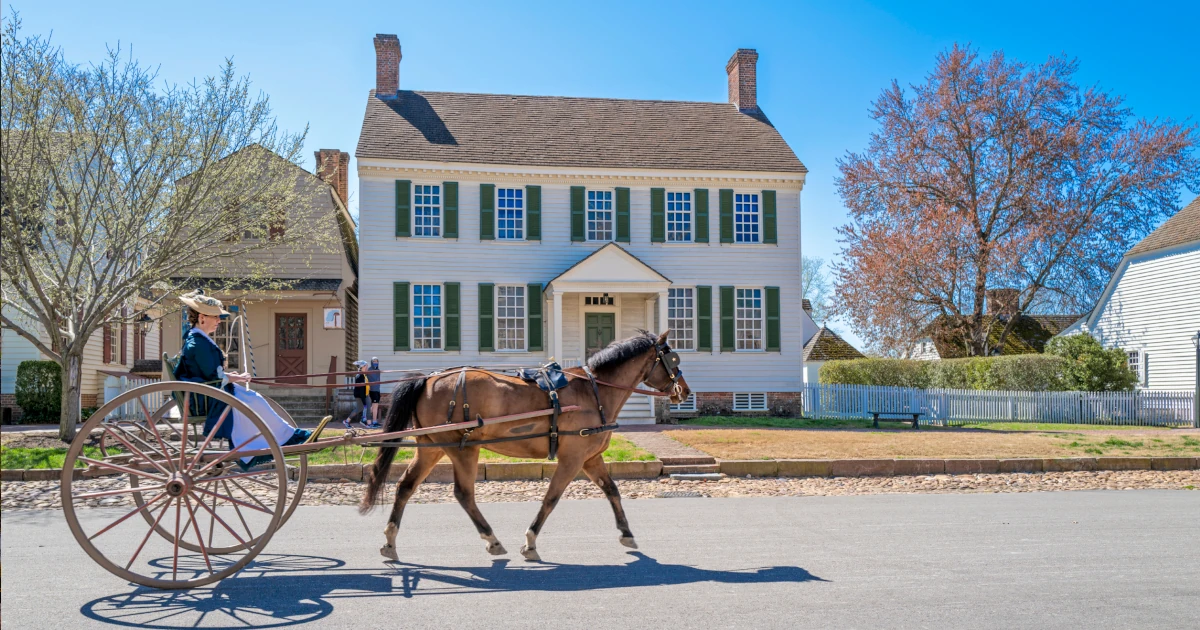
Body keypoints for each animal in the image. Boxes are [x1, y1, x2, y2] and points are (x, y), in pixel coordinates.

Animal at [360, 328, 691, 559]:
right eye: (672, 358)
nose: (685, 390)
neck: (594, 390)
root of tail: (429, 379)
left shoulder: (590, 457)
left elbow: (612, 491)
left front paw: (626, 533)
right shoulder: (572, 458)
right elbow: (551, 498)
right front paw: (530, 542)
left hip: (433, 447)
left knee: (405, 486)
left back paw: (390, 540)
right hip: (462, 448)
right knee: (464, 494)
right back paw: (492, 539)